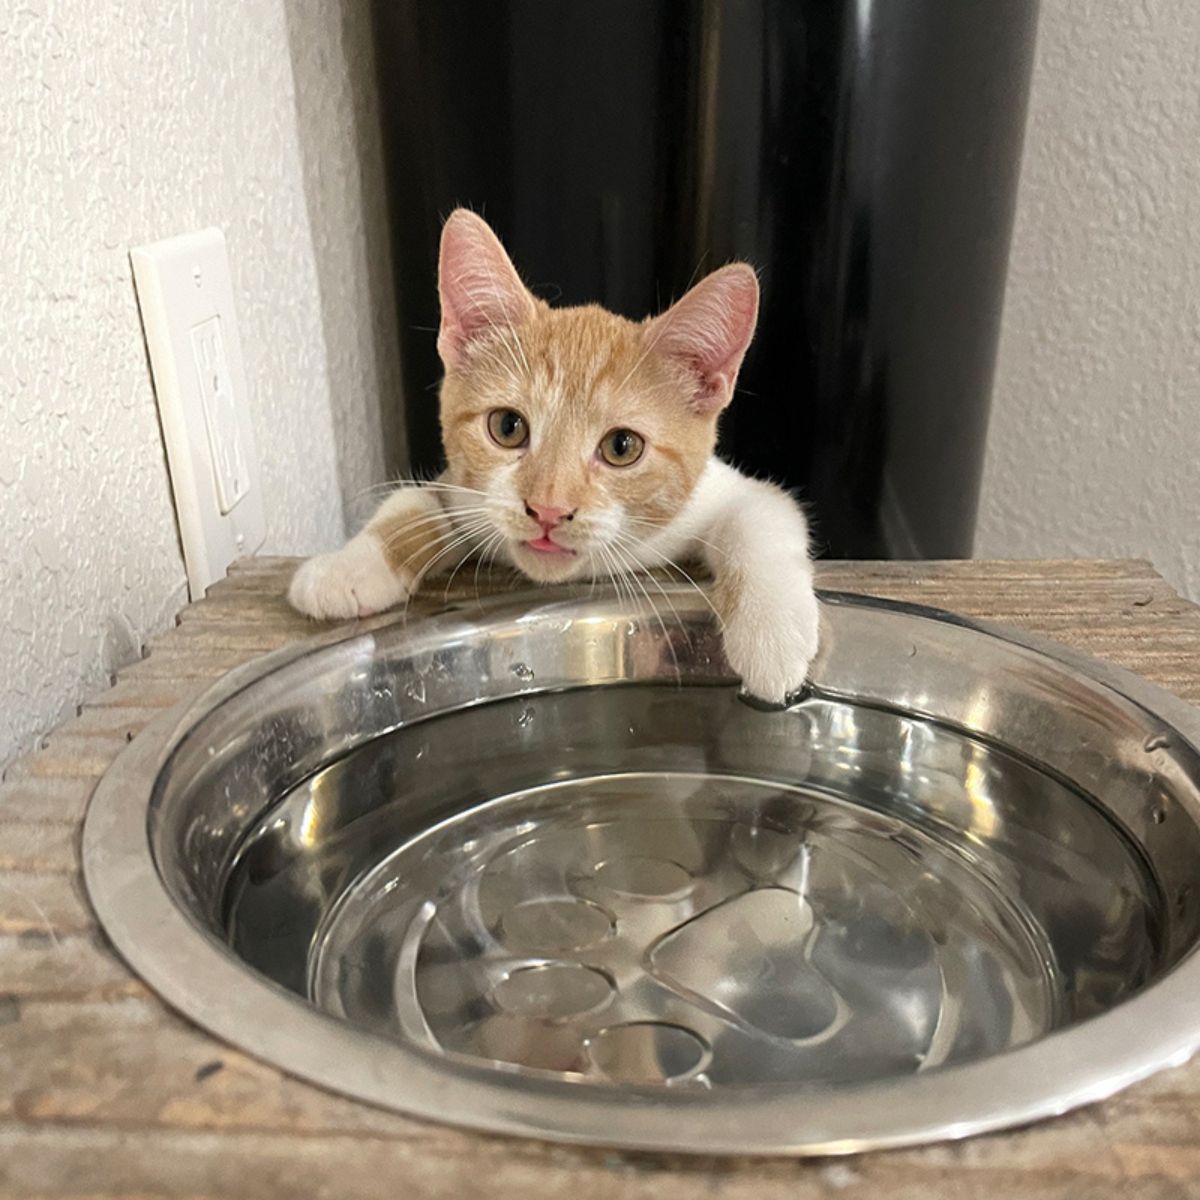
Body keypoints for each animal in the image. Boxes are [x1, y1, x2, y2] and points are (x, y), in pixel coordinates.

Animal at [288, 210, 816, 700]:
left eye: (622, 447)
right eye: (507, 426)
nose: (547, 509)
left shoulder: (725, 492)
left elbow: (761, 518)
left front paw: (773, 639)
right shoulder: (461, 488)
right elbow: (411, 505)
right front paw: (346, 568)